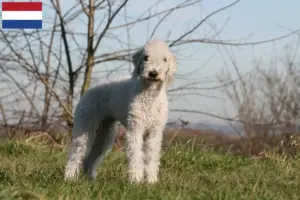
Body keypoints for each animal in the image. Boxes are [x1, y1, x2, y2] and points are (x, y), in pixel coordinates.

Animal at [63, 39, 176, 183]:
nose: (153, 73)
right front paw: (136, 180)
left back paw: (91, 180)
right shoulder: (135, 129)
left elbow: (152, 158)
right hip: (86, 124)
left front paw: (151, 181)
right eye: (146, 57)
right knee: (76, 153)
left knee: (90, 159)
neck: (149, 95)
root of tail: (88, 92)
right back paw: (70, 178)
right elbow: (136, 155)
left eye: (165, 59)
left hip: (105, 133)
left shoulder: (154, 132)